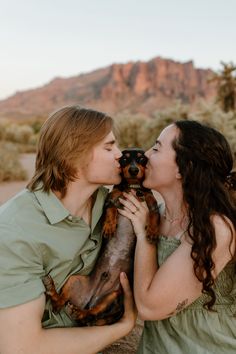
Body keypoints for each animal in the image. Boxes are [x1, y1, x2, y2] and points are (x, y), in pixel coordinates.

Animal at [43, 147, 159, 326]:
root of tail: (90, 299)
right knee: (62, 303)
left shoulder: (150, 200)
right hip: (74, 280)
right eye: (124, 159)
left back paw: (79, 312)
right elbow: (111, 208)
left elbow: (153, 212)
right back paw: (54, 292)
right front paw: (109, 227)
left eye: (142, 159)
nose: (133, 170)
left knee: (92, 315)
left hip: (113, 296)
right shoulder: (112, 197)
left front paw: (153, 231)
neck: (132, 187)